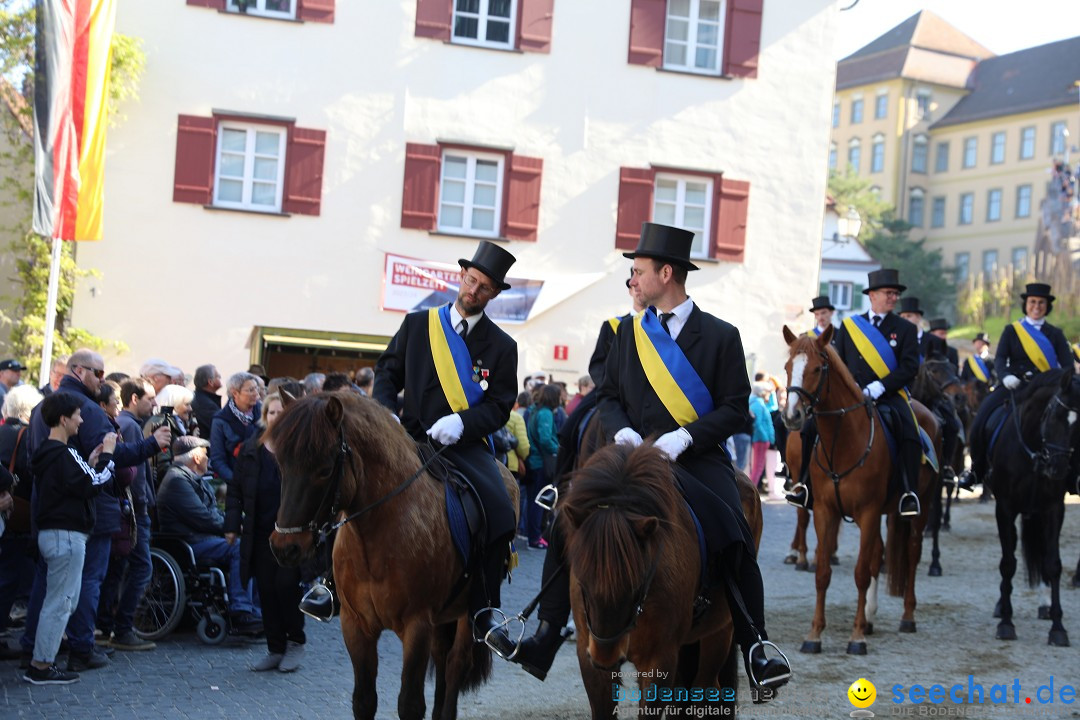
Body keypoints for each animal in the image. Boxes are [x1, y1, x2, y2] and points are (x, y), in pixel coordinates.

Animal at [267, 395, 520, 720]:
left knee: (455, 666)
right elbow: (363, 700)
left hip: (466, 614)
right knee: (442, 660)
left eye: (324, 469)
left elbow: (410, 703)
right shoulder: (355, 625)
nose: (284, 548)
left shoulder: (417, 626)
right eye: (281, 464)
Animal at [557, 442, 743, 716]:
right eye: (582, 581)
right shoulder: (588, 655)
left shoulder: (660, 659)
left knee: (706, 690)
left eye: (637, 583)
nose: (606, 658)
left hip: (720, 631)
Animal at [781, 330, 941, 656]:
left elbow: (860, 573)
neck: (843, 441)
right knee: (878, 553)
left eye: (817, 369)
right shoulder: (826, 511)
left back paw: (907, 616)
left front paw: (856, 638)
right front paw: (814, 635)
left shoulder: (868, 512)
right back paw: (869, 618)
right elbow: (823, 573)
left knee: (911, 553)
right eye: (788, 367)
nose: (792, 416)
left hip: (920, 507)